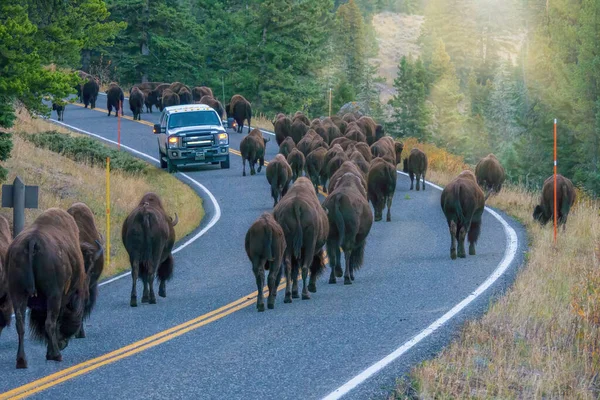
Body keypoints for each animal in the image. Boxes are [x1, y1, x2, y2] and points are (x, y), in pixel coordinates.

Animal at [7, 209, 86, 368]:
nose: (64, 343)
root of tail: (32, 241)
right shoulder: (62, 297)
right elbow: (55, 322)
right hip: (53, 295)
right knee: (49, 323)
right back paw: (56, 355)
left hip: (17, 293)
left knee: (20, 325)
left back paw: (21, 361)